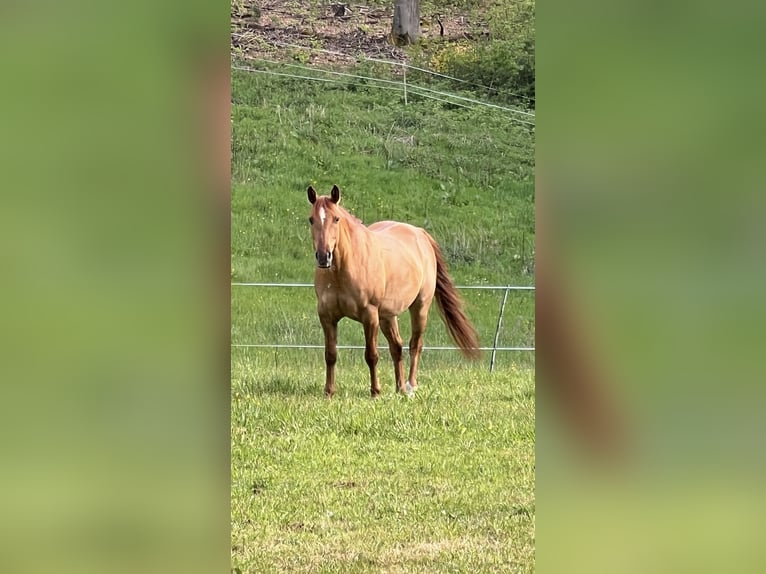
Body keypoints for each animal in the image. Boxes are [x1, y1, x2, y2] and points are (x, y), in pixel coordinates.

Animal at [306, 183, 480, 396]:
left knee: (415, 344)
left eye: (336, 219)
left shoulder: (370, 315)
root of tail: (420, 233)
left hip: (419, 308)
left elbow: (371, 355)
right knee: (396, 347)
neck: (345, 268)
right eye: (311, 219)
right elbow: (330, 354)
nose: (324, 257)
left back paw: (410, 385)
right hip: (388, 316)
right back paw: (400, 388)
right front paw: (329, 392)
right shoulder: (327, 316)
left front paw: (375, 392)